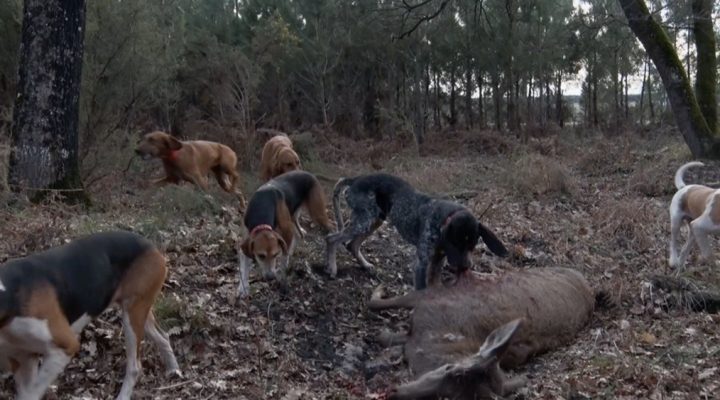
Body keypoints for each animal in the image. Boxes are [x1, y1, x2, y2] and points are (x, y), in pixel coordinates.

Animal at [0, 230, 180, 400]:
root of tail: (152, 246)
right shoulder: (23, 359)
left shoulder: (65, 347)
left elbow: (30, 393)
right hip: (139, 311)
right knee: (163, 336)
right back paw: (174, 369)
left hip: (132, 318)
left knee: (135, 367)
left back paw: (124, 395)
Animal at [239, 170, 334, 298]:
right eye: (261, 256)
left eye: (275, 254)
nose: (270, 277)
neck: (261, 207)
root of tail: (309, 173)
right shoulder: (246, 241)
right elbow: (244, 267)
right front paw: (242, 288)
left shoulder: (286, 232)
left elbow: (284, 258)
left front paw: (281, 276)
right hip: (293, 216)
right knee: (299, 234)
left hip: (317, 214)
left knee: (332, 227)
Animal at [326, 173, 506, 290]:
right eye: (456, 243)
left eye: (473, 245)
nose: (465, 267)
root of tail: (355, 179)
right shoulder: (421, 263)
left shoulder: (437, 262)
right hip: (364, 220)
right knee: (331, 238)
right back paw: (332, 269)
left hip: (374, 219)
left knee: (352, 245)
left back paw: (365, 265)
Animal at [368, 268, 600, 398]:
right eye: (449, 370)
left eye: (448, 397)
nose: (394, 392)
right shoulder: (430, 296)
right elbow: (378, 307)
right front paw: (381, 287)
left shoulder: (428, 300)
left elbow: (381, 330)